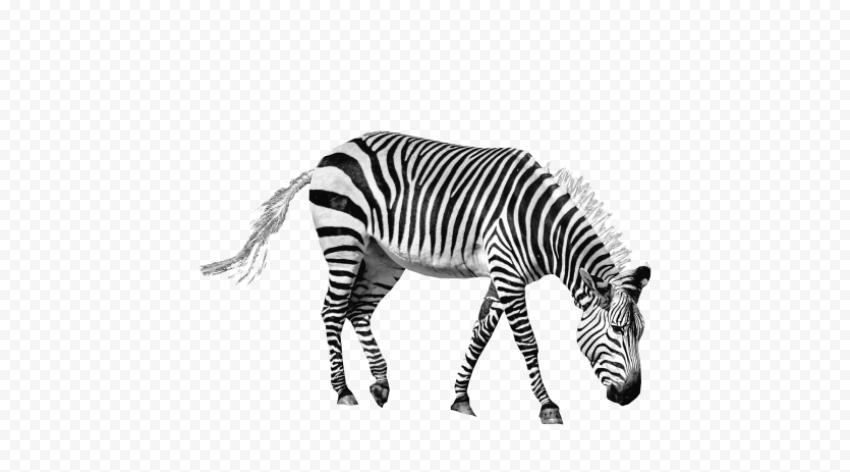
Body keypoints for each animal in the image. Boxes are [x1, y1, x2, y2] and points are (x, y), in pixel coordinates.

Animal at [201, 131, 651, 424]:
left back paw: (379, 383)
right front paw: (547, 406)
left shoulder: (502, 275)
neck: (541, 226)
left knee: (357, 311)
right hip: (343, 238)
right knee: (332, 309)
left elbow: (480, 334)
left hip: (382, 257)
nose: (631, 397)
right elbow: (527, 342)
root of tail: (331, 154)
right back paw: (343, 390)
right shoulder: (507, 273)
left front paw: (460, 398)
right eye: (616, 331)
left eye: (641, 333)